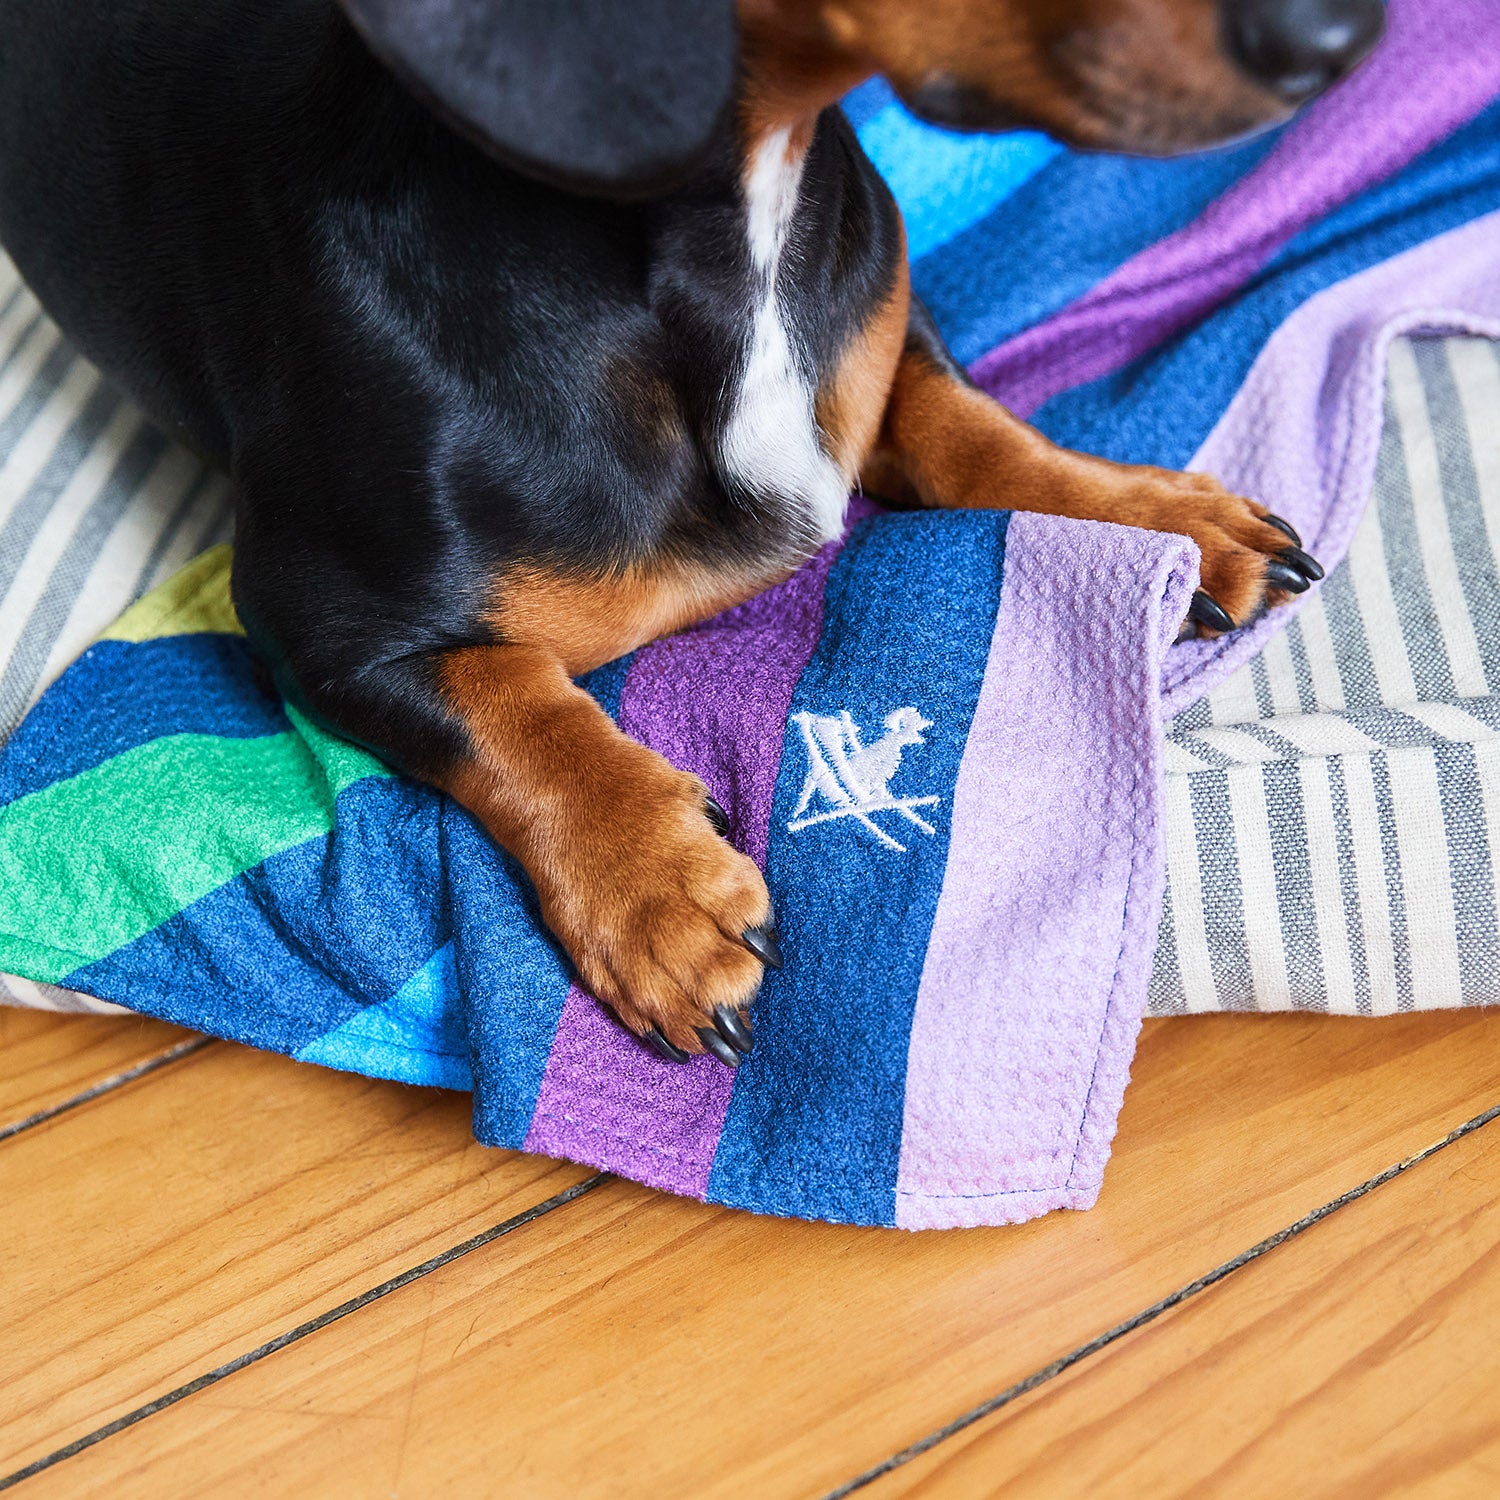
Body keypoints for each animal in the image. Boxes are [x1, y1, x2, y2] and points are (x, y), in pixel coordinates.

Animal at [0, 0, 1380, 1062]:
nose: (1345, 36)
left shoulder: (878, 338)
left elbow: (968, 427)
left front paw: (1166, 517)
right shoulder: (320, 622)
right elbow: (513, 704)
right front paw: (659, 896)